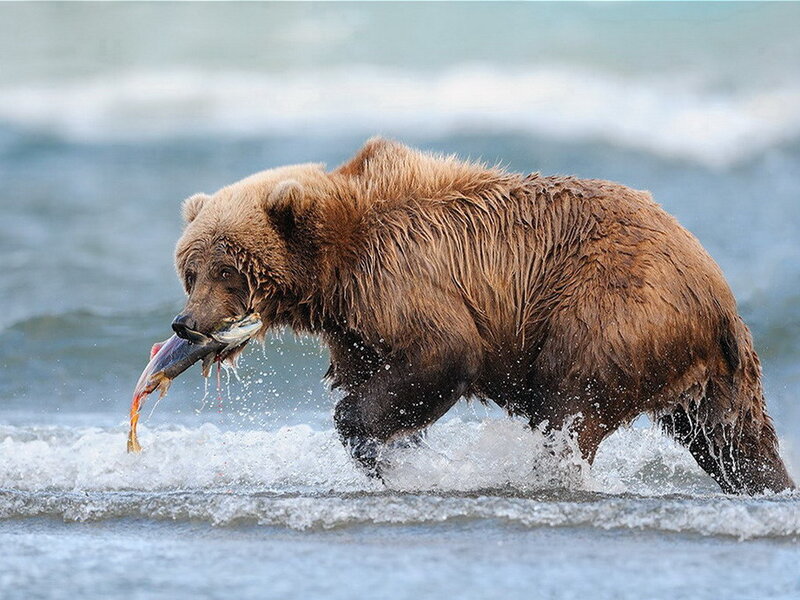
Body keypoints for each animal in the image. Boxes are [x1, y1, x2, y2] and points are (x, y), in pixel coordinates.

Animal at [172, 137, 794, 495]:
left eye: (228, 269)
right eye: (190, 271)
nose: (186, 325)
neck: (335, 268)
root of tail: (716, 289)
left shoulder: (403, 278)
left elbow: (443, 353)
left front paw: (374, 444)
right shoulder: (355, 331)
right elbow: (381, 380)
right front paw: (398, 454)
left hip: (611, 310)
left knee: (568, 404)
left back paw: (548, 473)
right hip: (707, 371)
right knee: (734, 439)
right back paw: (769, 485)